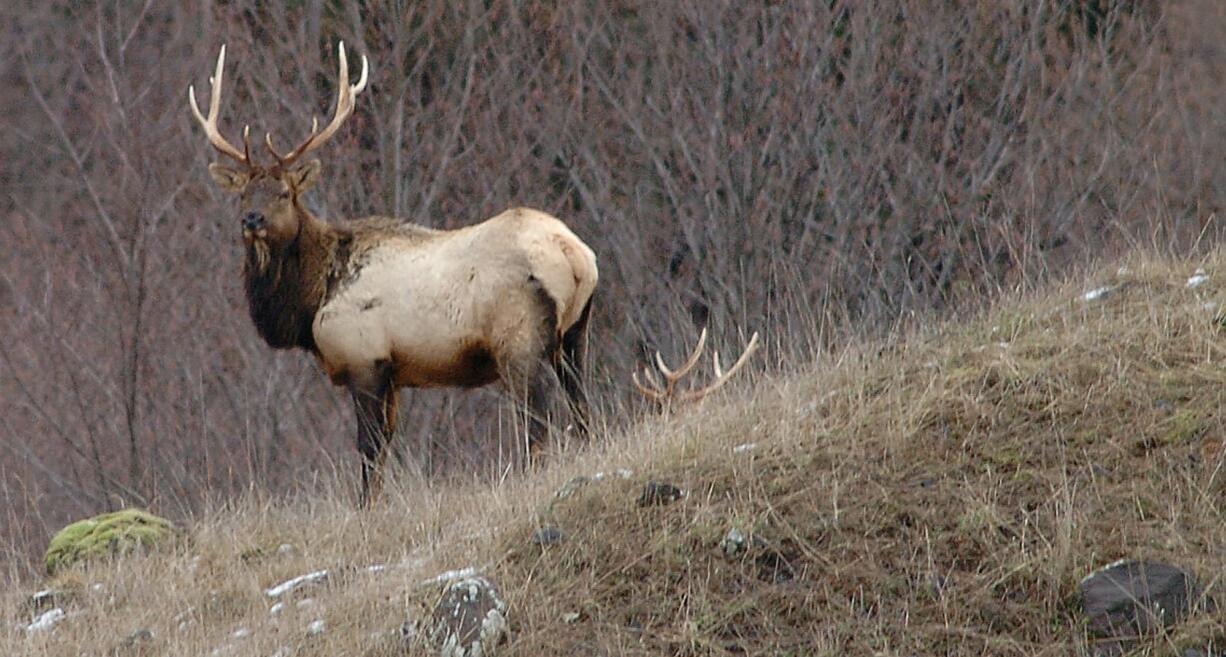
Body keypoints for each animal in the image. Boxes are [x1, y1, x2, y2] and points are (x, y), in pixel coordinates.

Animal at [185, 43, 598, 505]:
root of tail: (575, 256)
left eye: (284, 193)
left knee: (538, 418)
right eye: (243, 194)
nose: (251, 219)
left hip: (519, 339)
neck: (312, 299)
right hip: (575, 333)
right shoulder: (395, 376)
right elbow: (385, 448)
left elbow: (369, 449)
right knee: (582, 405)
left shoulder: (365, 359)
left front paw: (365, 508)